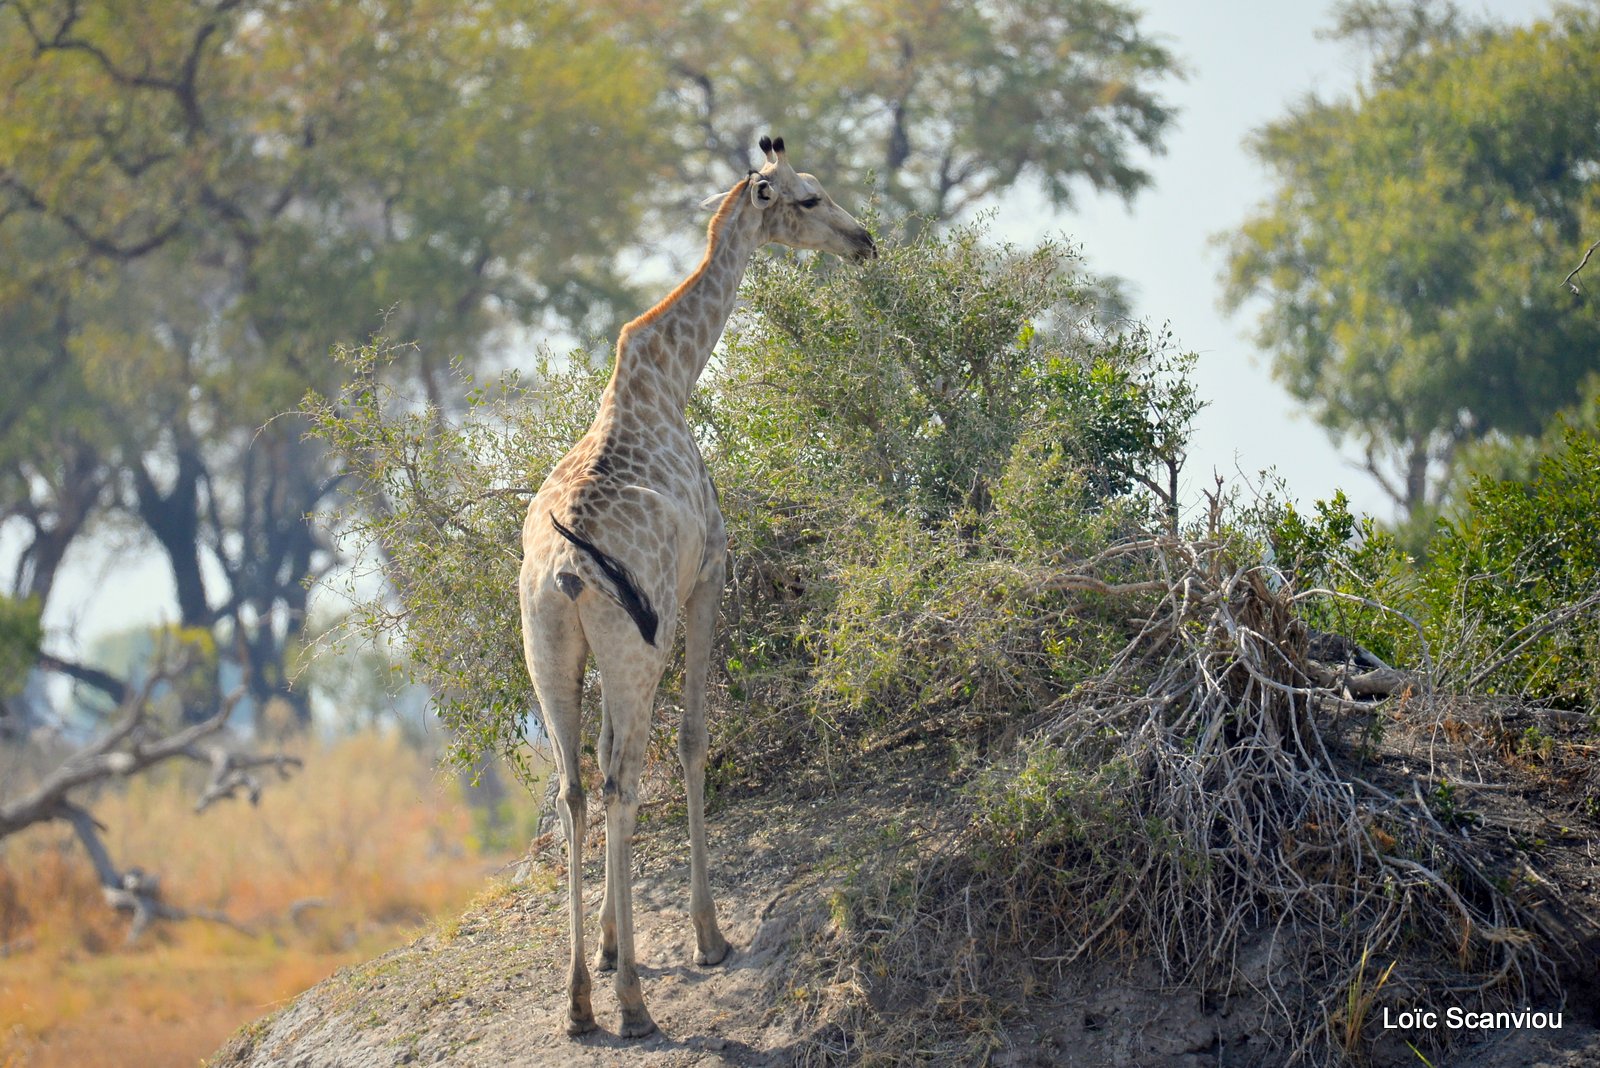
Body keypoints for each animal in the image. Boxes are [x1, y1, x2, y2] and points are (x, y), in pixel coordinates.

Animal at [518, 135, 876, 1042]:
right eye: (809, 197)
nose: (866, 241)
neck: (669, 380)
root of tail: (565, 571)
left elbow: (609, 765)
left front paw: (613, 945)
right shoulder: (709, 573)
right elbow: (693, 736)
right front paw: (709, 938)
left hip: (550, 656)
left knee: (578, 785)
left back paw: (580, 1003)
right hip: (631, 652)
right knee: (622, 778)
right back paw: (634, 1006)